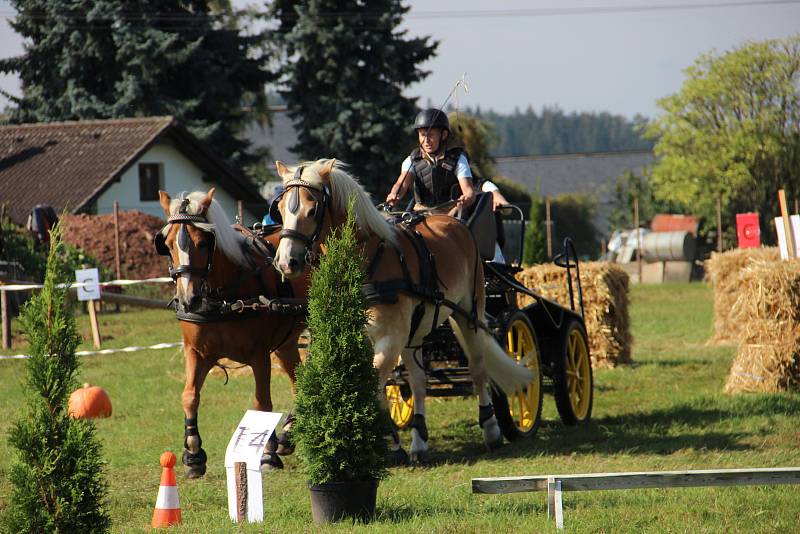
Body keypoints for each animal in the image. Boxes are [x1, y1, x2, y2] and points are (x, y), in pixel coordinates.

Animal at [155, 188, 310, 478]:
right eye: (167, 245)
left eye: (203, 243)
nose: (188, 300)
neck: (222, 298)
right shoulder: (196, 352)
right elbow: (189, 396)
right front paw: (193, 455)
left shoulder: (259, 355)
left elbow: (262, 402)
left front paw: (267, 454)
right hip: (287, 342)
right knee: (299, 378)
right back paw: (290, 431)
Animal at [270, 159, 532, 464]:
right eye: (279, 209)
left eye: (312, 210)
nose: (286, 262)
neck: (367, 260)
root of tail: (454, 221)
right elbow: (378, 384)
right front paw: (391, 441)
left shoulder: (389, 337)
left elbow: (373, 383)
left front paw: (385, 441)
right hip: (414, 329)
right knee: (418, 379)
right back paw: (419, 440)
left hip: (469, 312)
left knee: (478, 368)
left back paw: (491, 430)